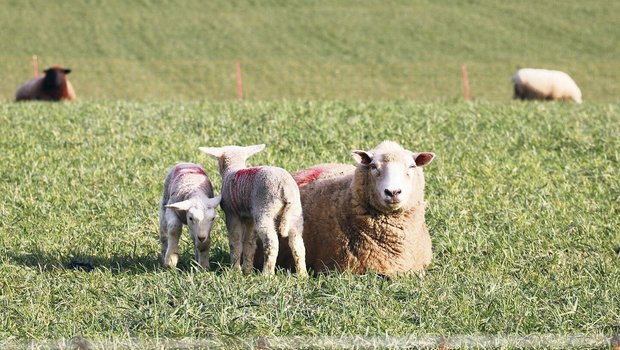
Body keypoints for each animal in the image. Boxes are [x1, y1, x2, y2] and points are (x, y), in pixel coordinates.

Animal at [201, 144, 308, 276]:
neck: (232, 169)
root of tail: (285, 188)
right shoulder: (250, 217)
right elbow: (249, 243)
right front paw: (247, 270)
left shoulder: (232, 214)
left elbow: (235, 242)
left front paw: (235, 270)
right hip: (295, 212)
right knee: (297, 244)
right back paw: (302, 274)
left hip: (265, 208)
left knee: (271, 242)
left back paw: (267, 274)